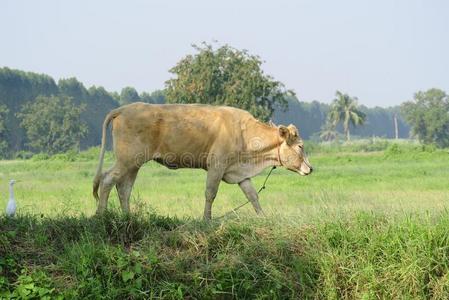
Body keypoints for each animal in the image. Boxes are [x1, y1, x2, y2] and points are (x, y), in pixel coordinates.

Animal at [92, 103, 312, 220]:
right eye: (300, 146)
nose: (310, 168)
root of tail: (123, 109)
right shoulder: (216, 166)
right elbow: (210, 193)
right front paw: (207, 219)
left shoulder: (239, 172)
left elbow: (252, 196)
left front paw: (263, 217)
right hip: (127, 159)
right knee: (107, 179)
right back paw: (101, 215)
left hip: (134, 164)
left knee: (124, 188)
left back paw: (128, 217)